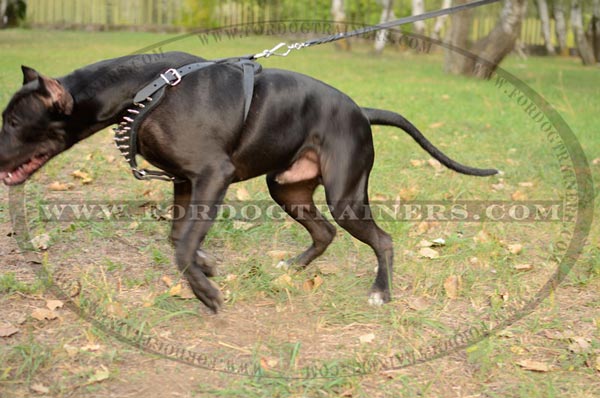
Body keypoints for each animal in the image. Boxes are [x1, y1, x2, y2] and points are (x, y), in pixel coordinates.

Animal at [0, 51, 496, 312]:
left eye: (12, 122)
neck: (144, 90)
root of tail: (360, 110)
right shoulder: (184, 181)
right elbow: (179, 235)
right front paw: (205, 267)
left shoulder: (211, 176)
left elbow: (182, 242)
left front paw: (205, 291)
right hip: (287, 188)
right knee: (324, 232)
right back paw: (292, 269)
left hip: (345, 195)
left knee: (383, 239)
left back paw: (380, 291)